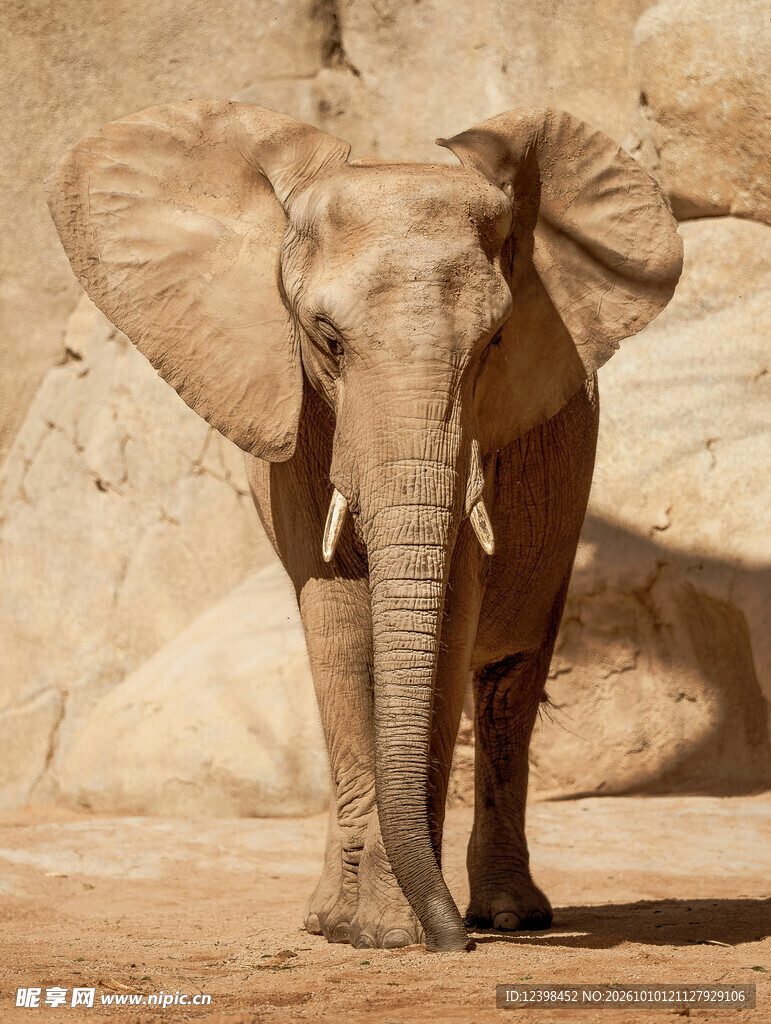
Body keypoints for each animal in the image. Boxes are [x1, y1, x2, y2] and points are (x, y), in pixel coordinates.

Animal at [46, 101, 682, 953]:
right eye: (326, 338)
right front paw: (367, 930)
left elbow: (448, 625)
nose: (455, 944)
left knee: (509, 678)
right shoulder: (295, 420)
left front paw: (400, 929)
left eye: (493, 342)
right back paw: (332, 917)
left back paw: (509, 914)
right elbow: (340, 625)